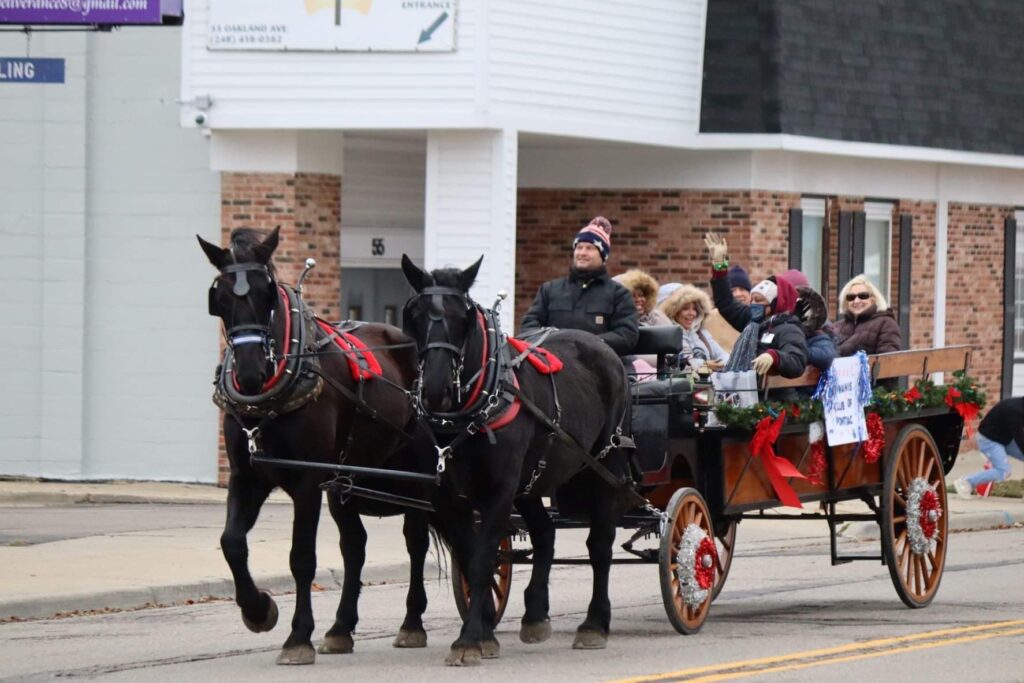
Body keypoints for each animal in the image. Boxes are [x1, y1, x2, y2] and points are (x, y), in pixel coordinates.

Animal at [197, 227, 430, 663]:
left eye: (267, 293)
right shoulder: (246, 476)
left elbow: (302, 557)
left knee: (416, 541)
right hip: (346, 481)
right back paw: (341, 628)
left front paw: (298, 636)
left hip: (419, 474)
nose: (250, 372)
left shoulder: (307, 482)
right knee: (355, 545)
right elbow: (232, 543)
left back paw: (412, 623)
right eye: (219, 298)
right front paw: (258, 610)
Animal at [401, 253, 634, 663]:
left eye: (463, 316)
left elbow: (482, 560)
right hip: (533, 481)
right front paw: (483, 630)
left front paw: (469, 640)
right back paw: (536, 614)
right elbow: (472, 556)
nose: (436, 389)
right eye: (414, 314)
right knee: (545, 532)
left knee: (600, 542)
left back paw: (594, 623)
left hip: (606, 464)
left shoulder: (499, 489)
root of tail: (602, 347)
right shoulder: (448, 496)